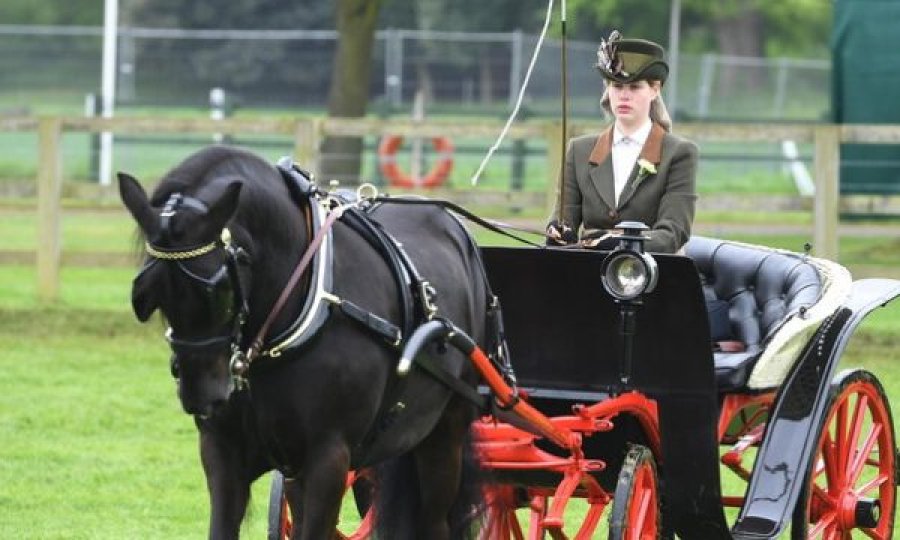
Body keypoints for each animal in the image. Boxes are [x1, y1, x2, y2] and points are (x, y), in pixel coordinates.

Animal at [119, 146, 492, 536]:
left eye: (218, 290)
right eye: (150, 292)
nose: (199, 394)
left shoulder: (328, 457)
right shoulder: (223, 452)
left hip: (445, 432)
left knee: (435, 519)